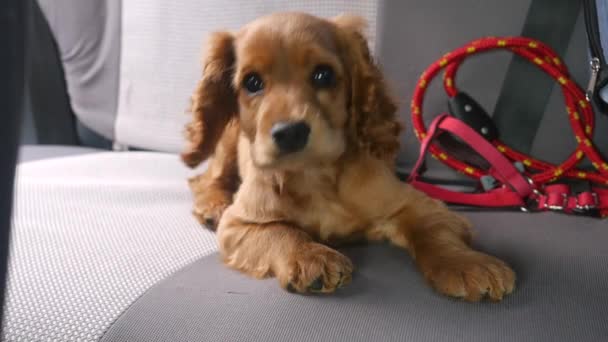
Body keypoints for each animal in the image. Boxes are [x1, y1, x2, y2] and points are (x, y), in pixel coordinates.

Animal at [180, 12, 512, 300]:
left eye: (323, 75)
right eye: (252, 82)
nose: (290, 132)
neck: (315, 175)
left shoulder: (419, 204)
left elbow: (432, 232)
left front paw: (468, 264)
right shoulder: (239, 224)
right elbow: (280, 230)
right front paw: (310, 256)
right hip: (227, 141)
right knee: (204, 179)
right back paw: (213, 205)